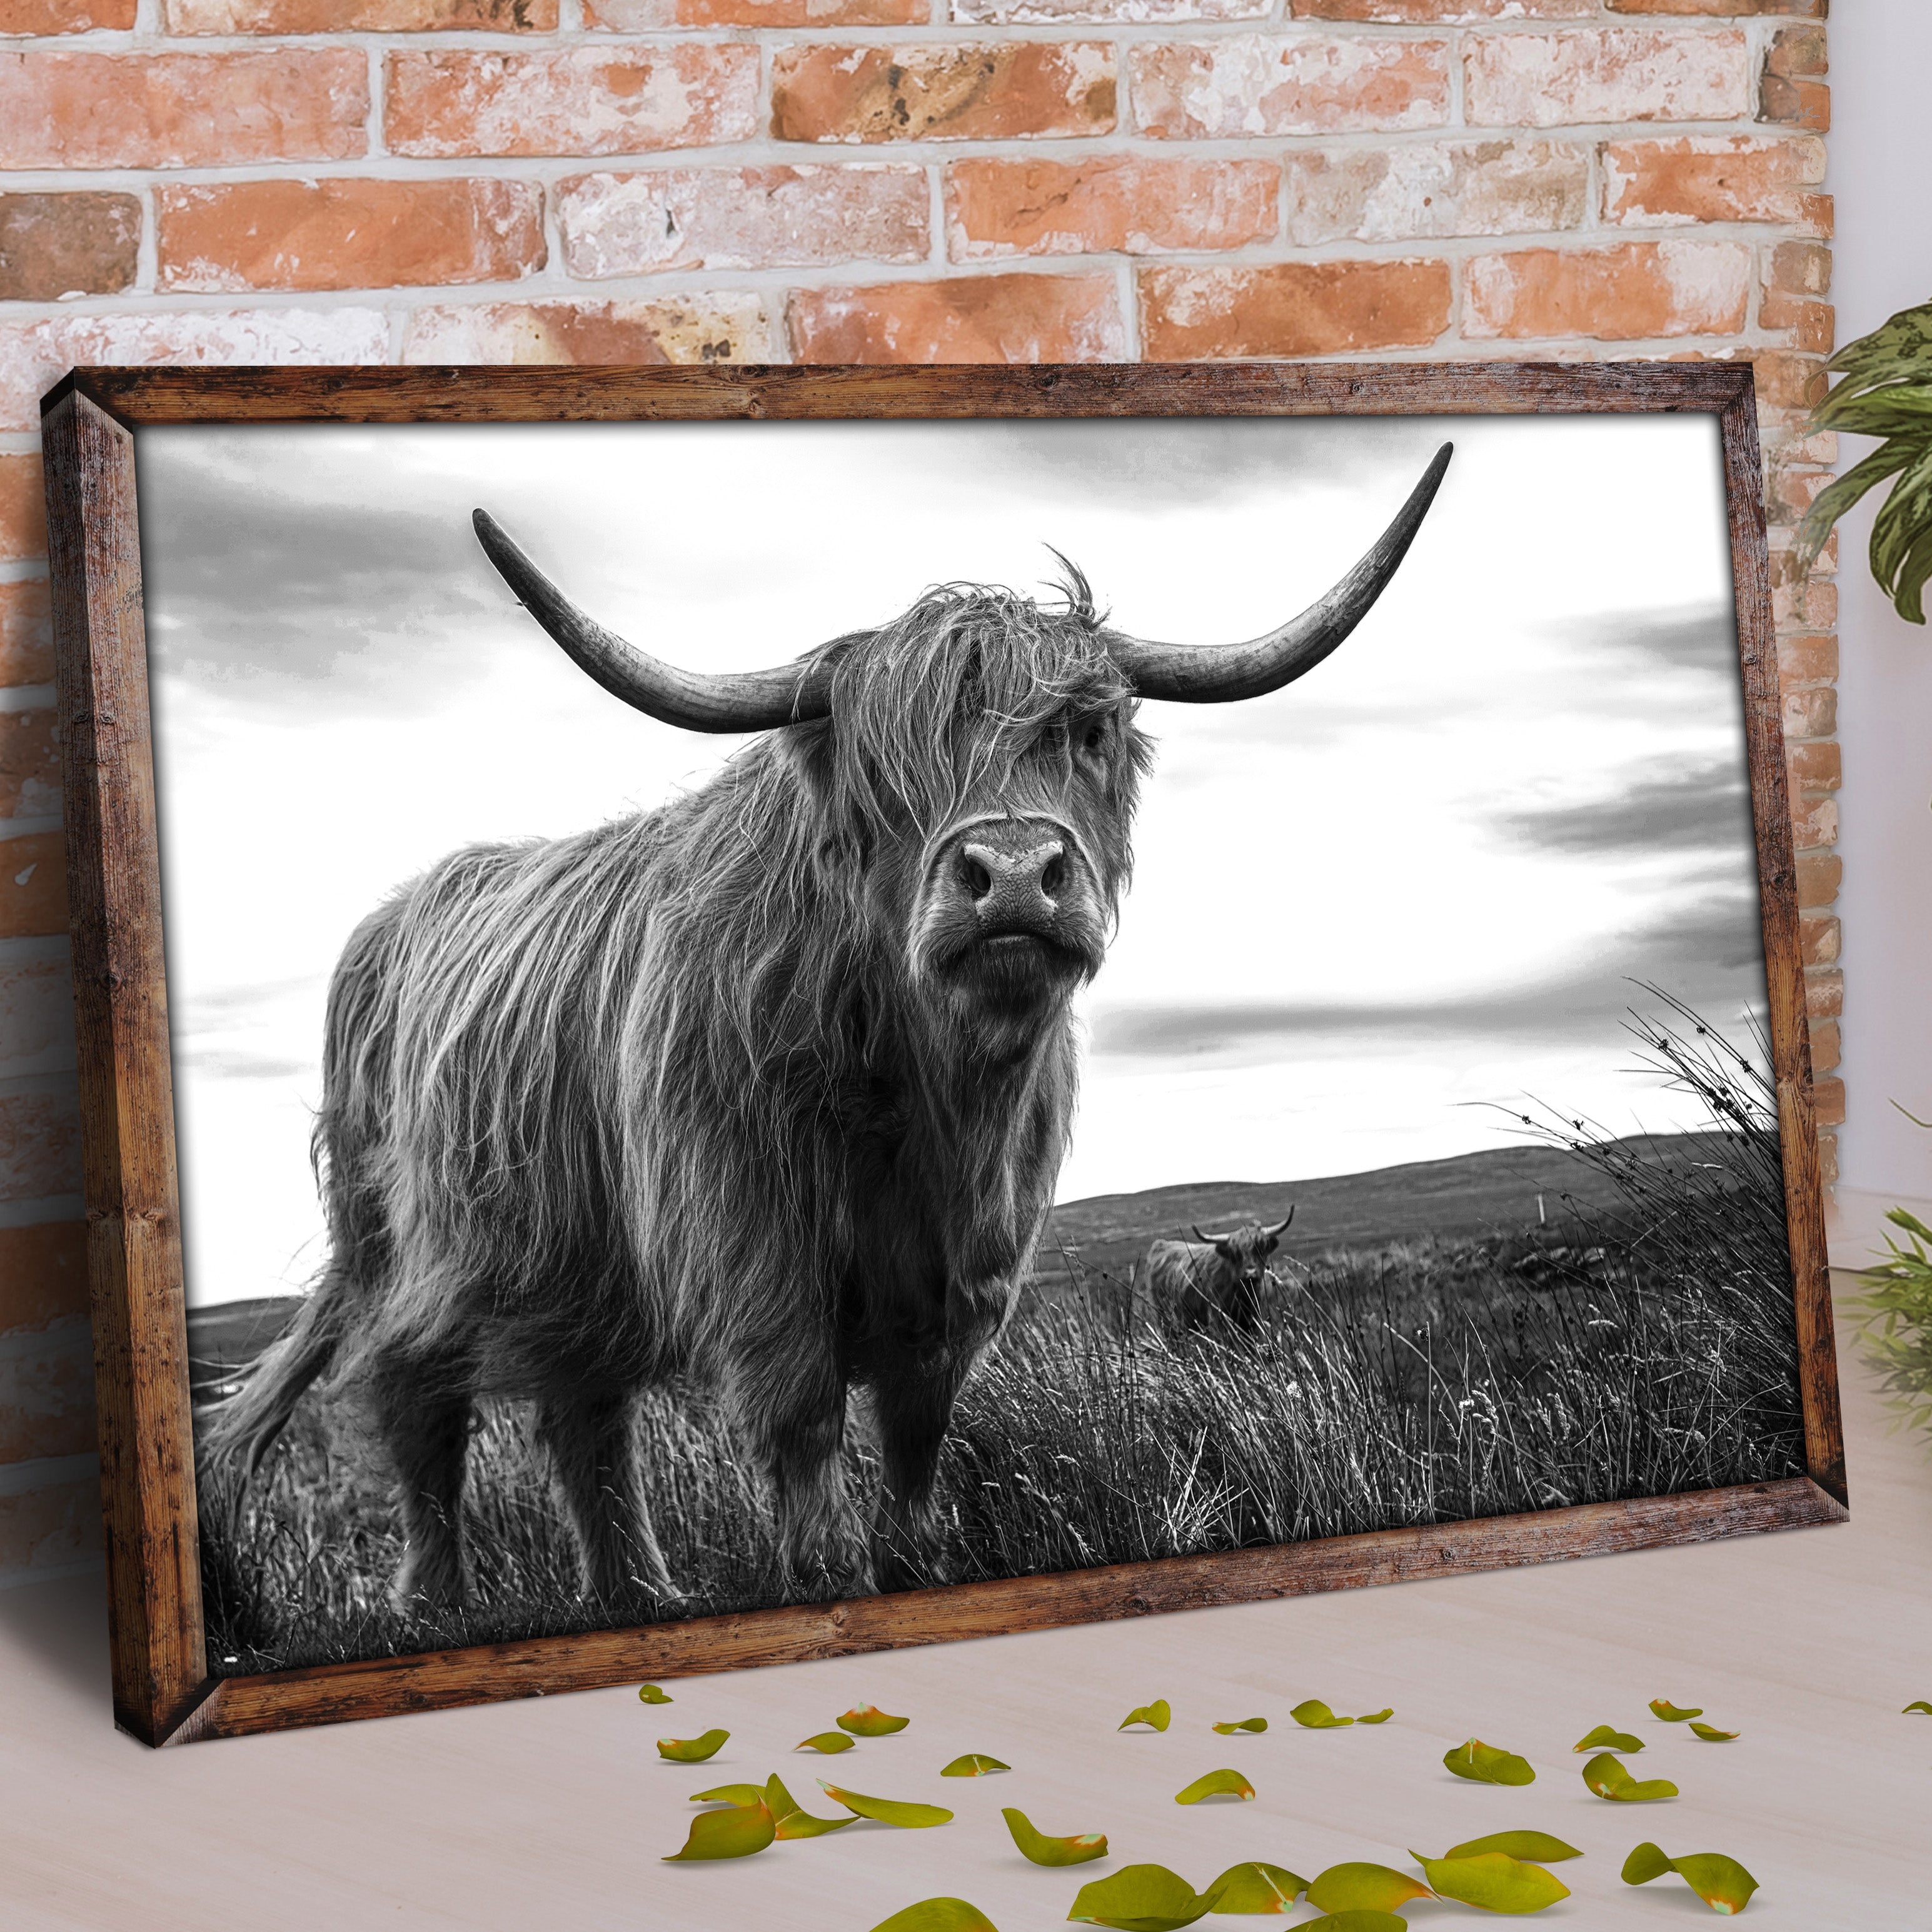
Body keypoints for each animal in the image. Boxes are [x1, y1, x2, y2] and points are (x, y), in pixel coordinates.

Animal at [1143, 1209, 1295, 1336]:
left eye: (1261, 1250)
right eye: (1234, 1255)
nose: (1250, 1274)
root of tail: (1161, 1244)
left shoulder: (1252, 1320)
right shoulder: (1219, 1319)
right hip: (1163, 1315)